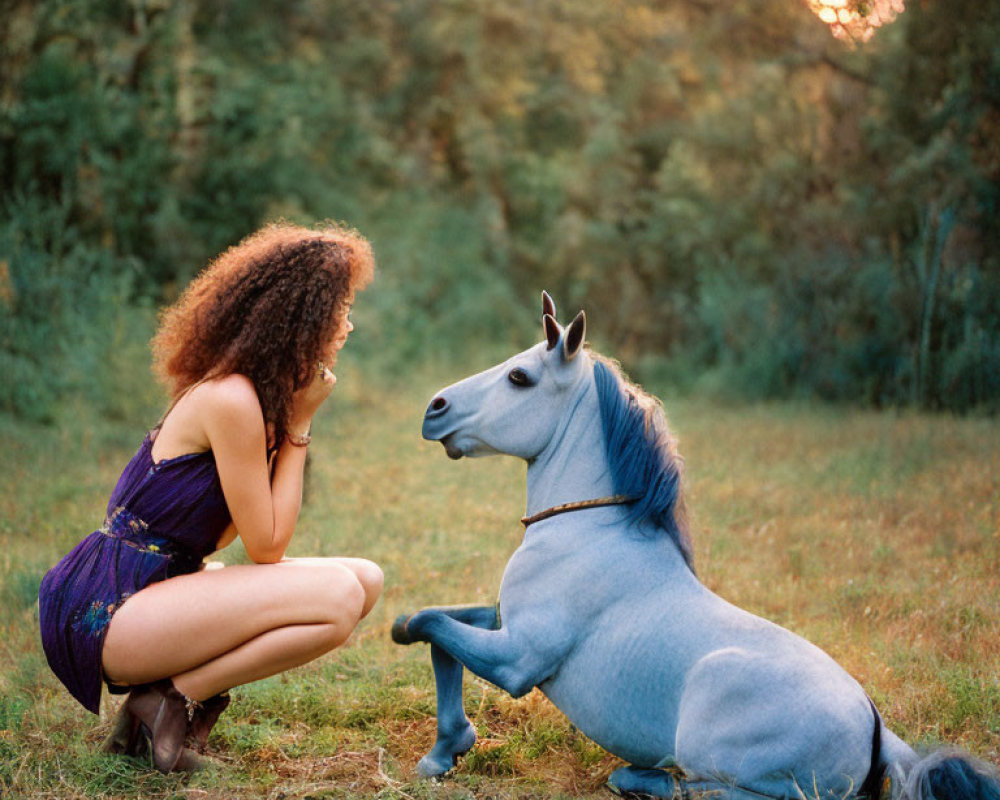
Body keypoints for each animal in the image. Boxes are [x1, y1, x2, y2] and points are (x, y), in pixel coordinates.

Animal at [390, 294, 1000, 800]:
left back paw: (641, 777)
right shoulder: (502, 623)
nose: (435, 409)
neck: (588, 531)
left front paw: (449, 744)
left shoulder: (519, 659)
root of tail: (876, 728)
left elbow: (427, 624)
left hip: (734, 763)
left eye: (520, 377)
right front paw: (444, 753)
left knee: (717, 792)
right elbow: (430, 626)